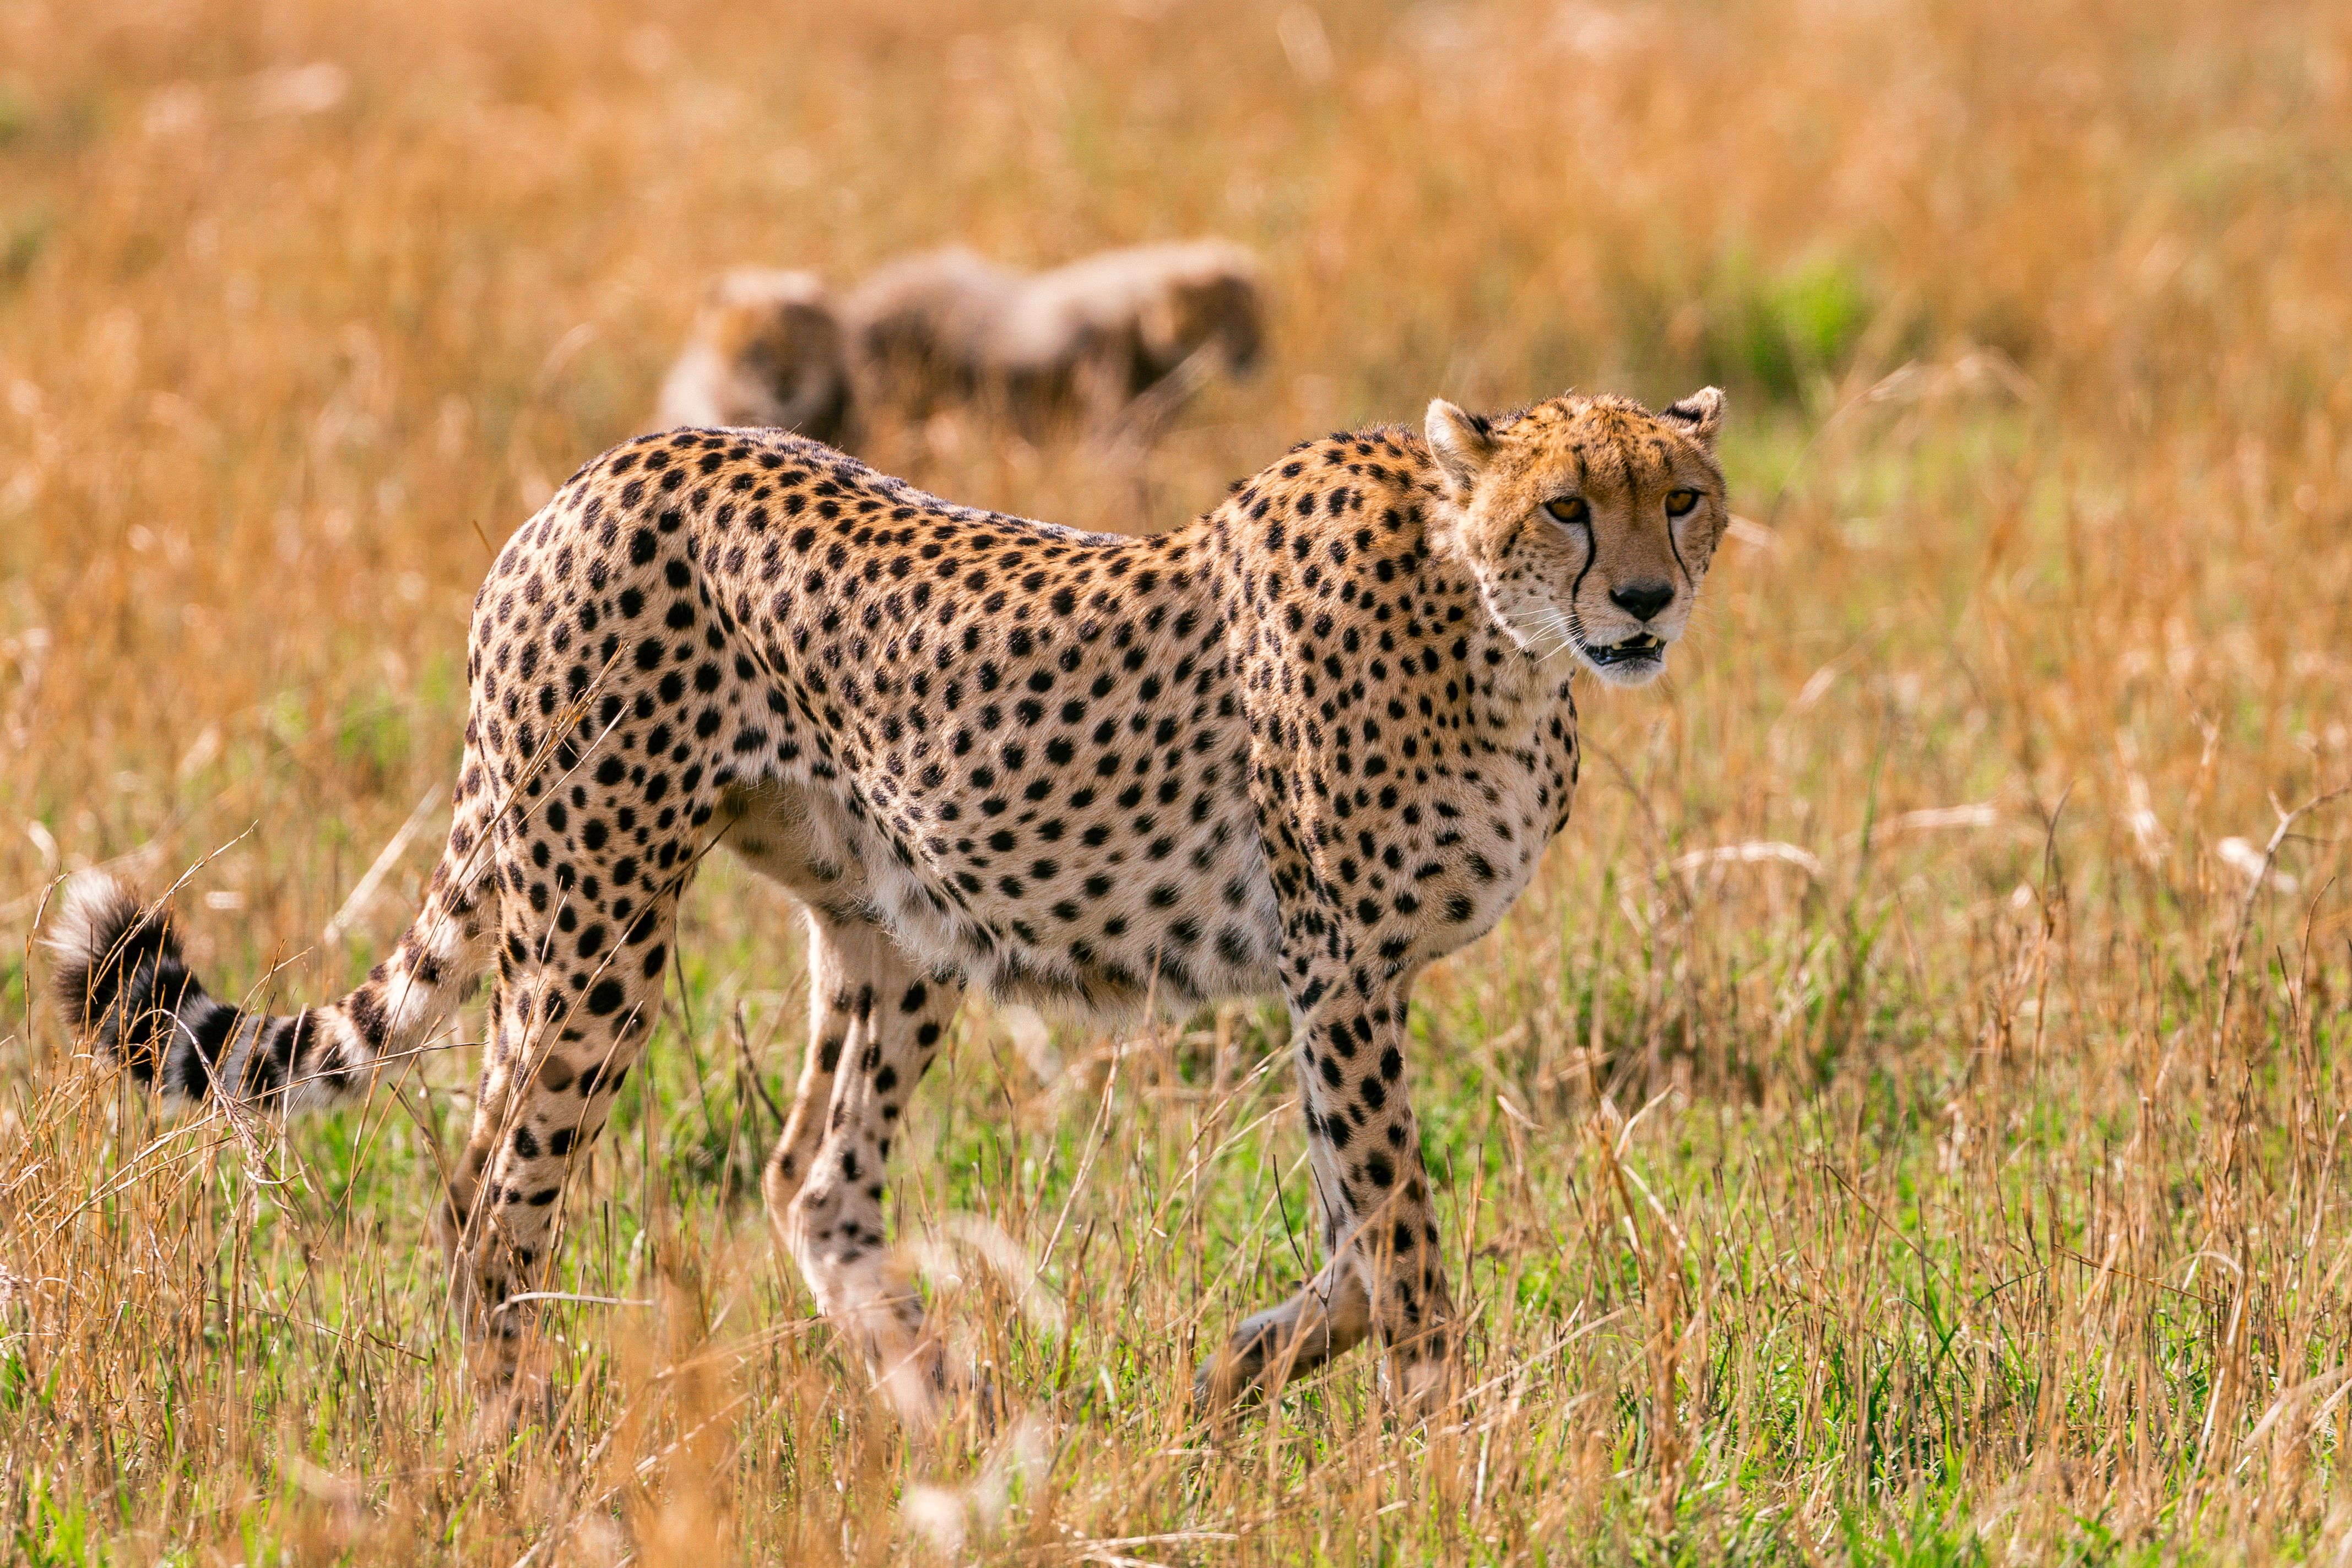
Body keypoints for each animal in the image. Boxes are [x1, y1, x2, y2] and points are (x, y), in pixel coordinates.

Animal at [49, 384, 1729, 1424]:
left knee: (809, 1175)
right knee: (487, 1183)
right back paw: (530, 1443)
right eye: (1569, 507)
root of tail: (592, 476)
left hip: (898, 924)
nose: (1646, 601)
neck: (1492, 632)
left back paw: (945, 1404)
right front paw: (1450, 1435)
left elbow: (1356, 1241)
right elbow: (1398, 1244)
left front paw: (1234, 1371)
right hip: (593, 923)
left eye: (1684, 497)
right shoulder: (1342, 972)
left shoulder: (1344, 985)